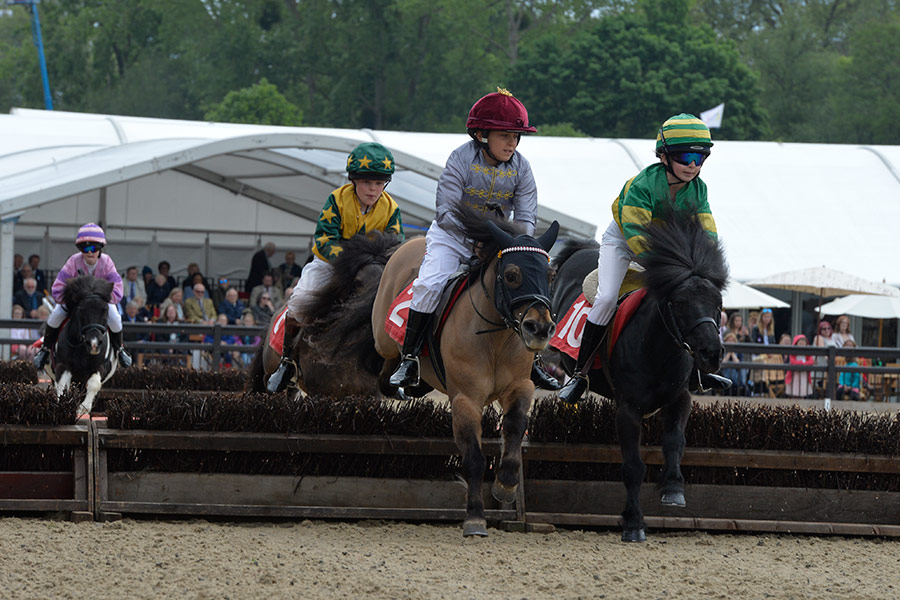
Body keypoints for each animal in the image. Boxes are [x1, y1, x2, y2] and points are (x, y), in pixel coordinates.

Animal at [45, 274, 119, 414]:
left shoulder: (99, 367)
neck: (81, 349)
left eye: (105, 310)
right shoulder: (63, 366)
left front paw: (83, 408)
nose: (94, 343)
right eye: (81, 309)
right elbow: (63, 388)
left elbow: (94, 384)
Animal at [358, 209, 556, 536]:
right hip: (382, 339)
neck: (495, 337)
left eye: (550, 275)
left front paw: (506, 484)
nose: (539, 328)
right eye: (511, 275)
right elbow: (474, 457)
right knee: (386, 360)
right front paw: (475, 517)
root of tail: (410, 244)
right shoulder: (466, 398)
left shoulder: (520, 386)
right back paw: (401, 374)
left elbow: (515, 425)